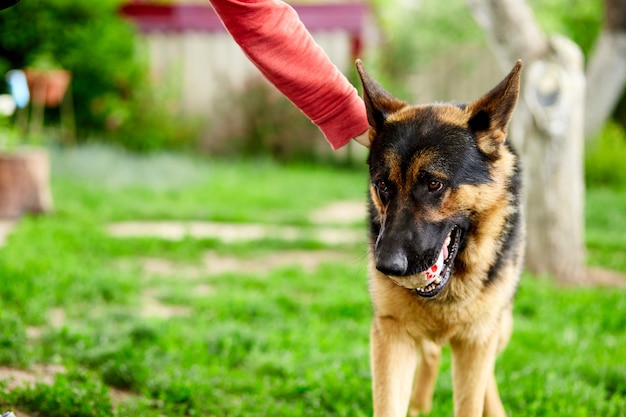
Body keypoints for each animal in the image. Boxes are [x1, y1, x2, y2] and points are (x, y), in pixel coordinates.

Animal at [356, 59, 520, 416]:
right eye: (383, 185)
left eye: (434, 184)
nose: (387, 267)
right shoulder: (392, 334)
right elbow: (388, 405)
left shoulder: (477, 339)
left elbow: (472, 400)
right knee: (431, 353)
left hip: (498, 327)